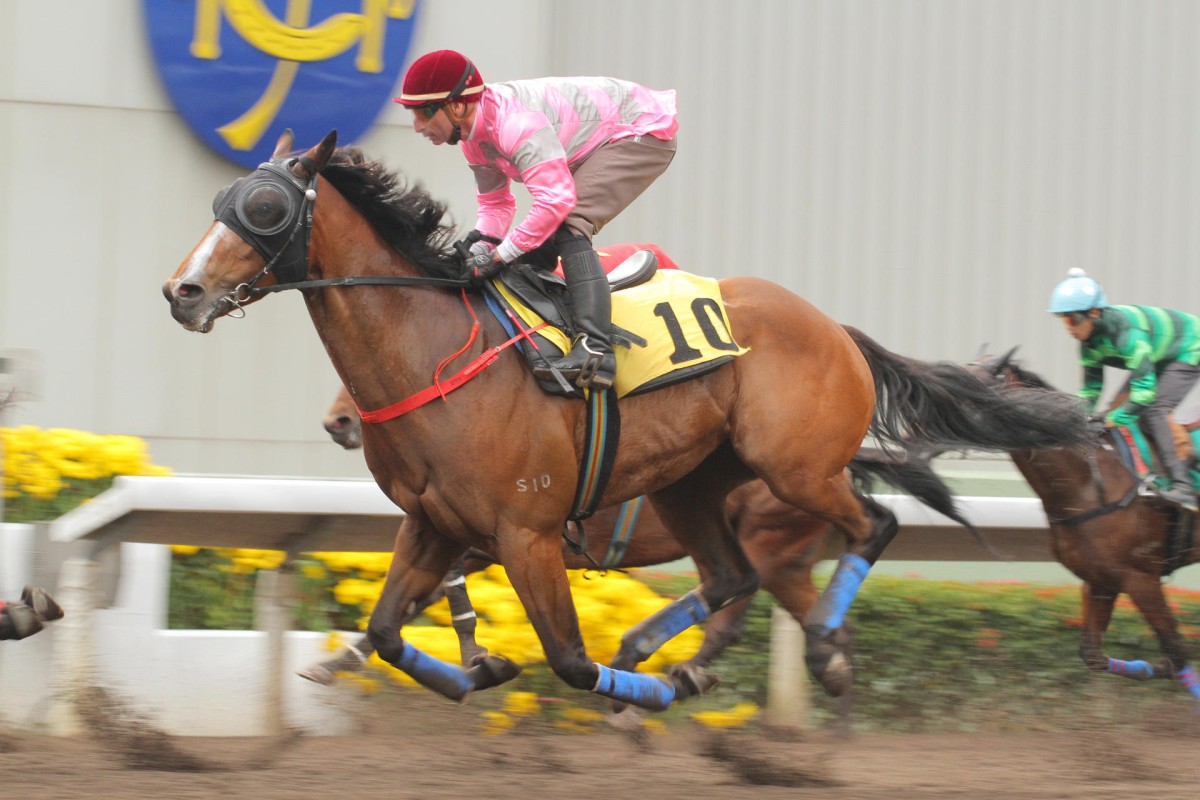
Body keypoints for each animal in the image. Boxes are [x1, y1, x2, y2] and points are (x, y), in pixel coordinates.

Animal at [302, 381, 993, 690]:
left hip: (775, 547)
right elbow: (419, 597)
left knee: (760, 616)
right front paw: (340, 658)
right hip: (783, 558)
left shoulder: (513, 532)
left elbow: (431, 593)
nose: (338, 422)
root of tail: (840, 463)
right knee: (796, 622)